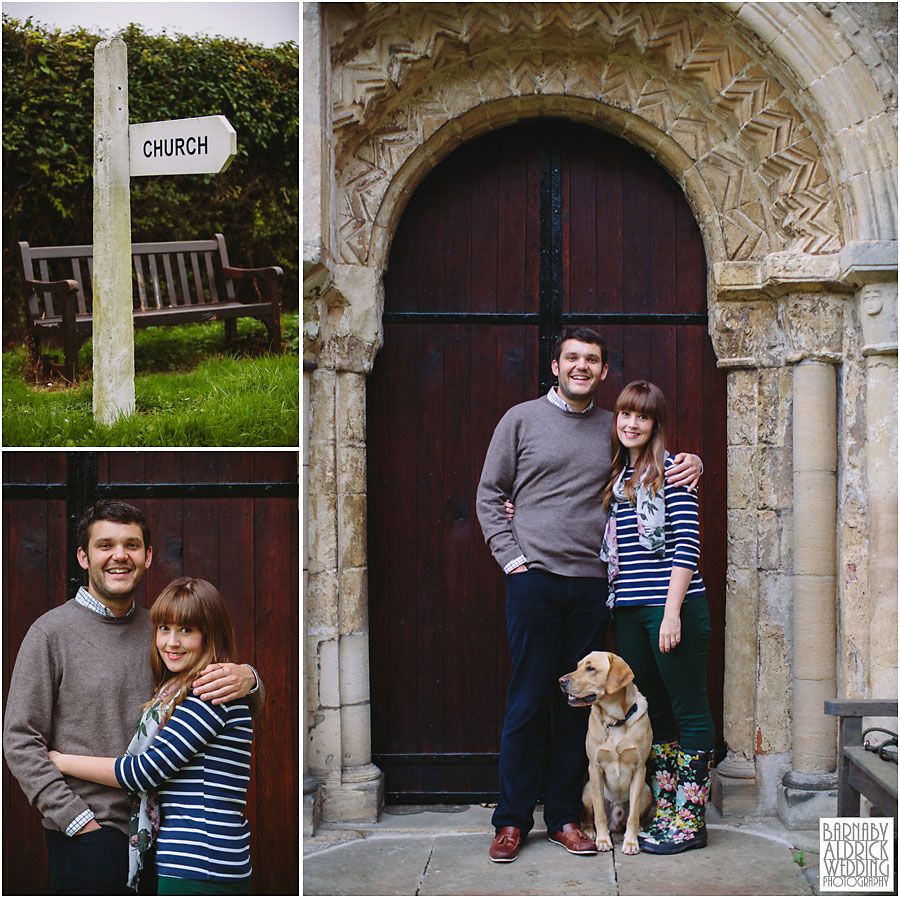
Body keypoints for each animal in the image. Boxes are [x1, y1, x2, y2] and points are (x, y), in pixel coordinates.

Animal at [560, 648, 652, 852]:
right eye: (578, 666)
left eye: (590, 668)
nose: (561, 680)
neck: (616, 720)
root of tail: (615, 821)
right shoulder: (595, 767)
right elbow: (599, 814)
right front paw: (602, 840)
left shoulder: (639, 769)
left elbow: (633, 815)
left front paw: (631, 842)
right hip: (586, 791)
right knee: (589, 816)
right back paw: (588, 832)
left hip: (647, 791)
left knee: (634, 815)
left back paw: (639, 829)